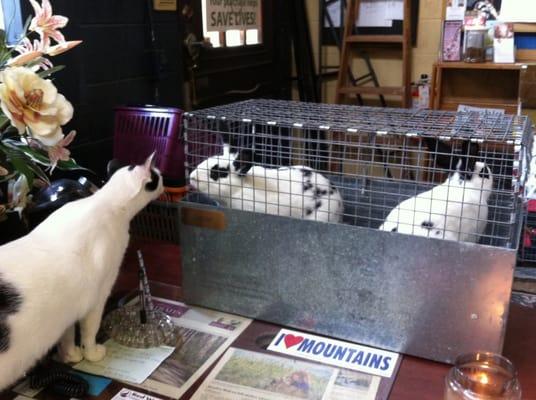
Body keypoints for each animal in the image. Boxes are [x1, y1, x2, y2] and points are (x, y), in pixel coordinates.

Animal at [0, 153, 163, 390]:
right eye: (158, 176)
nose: (164, 180)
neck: (103, 201)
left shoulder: (68, 308)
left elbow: (67, 336)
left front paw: (70, 356)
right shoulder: (98, 296)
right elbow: (89, 330)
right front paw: (92, 353)